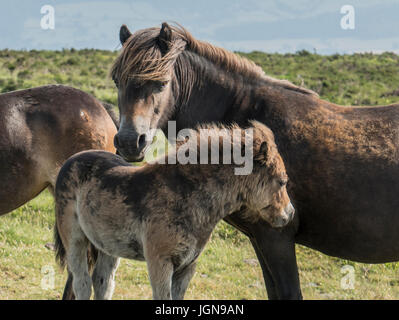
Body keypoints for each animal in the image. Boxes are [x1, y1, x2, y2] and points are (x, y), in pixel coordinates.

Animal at [54, 120, 294, 300]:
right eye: (282, 181)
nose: (289, 214)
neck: (186, 196)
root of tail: (69, 162)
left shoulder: (187, 267)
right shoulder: (160, 263)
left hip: (107, 247)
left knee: (102, 283)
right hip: (75, 239)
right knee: (82, 282)